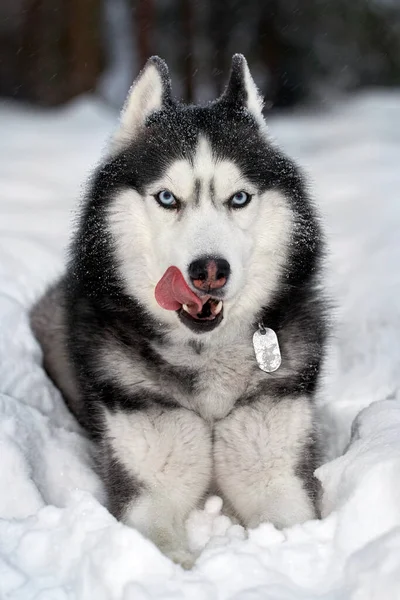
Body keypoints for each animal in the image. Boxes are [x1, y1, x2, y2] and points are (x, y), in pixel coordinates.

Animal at [32, 54, 328, 564]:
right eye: (168, 198)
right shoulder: (148, 488)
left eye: (239, 198)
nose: (209, 270)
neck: (205, 356)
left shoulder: (276, 473)